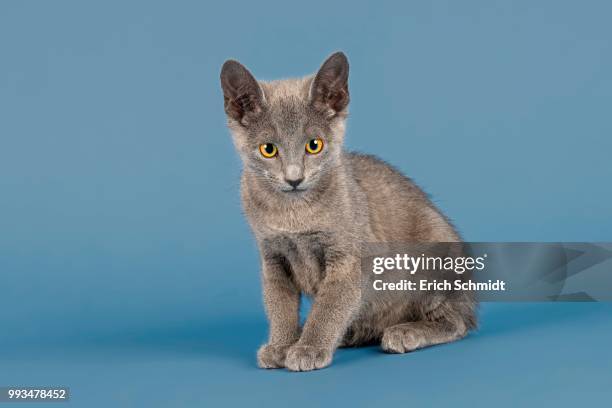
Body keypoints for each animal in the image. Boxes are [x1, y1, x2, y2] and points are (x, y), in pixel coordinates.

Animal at [220, 52, 478, 372]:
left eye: (314, 145)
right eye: (268, 149)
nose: (294, 178)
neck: (293, 214)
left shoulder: (348, 258)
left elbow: (329, 306)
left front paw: (309, 348)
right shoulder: (273, 257)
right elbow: (279, 305)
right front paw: (281, 344)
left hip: (435, 251)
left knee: (457, 322)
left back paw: (405, 332)